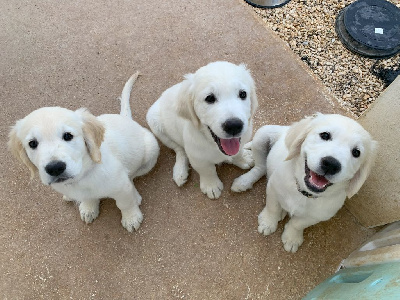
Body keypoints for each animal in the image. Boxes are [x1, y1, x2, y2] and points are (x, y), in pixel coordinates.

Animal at [8, 72, 159, 232]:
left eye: (68, 136)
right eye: (32, 143)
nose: (55, 168)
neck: (82, 176)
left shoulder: (121, 187)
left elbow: (124, 203)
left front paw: (131, 217)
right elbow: (88, 197)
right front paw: (89, 207)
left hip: (150, 151)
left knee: (133, 175)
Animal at [145, 61, 258, 199]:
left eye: (243, 94)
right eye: (209, 98)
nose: (234, 126)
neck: (212, 143)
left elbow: (238, 152)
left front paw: (243, 159)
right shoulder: (197, 156)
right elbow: (206, 169)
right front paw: (211, 185)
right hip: (155, 124)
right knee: (179, 149)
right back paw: (180, 171)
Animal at [231, 113, 378, 252]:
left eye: (356, 152)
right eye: (325, 135)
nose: (331, 164)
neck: (303, 193)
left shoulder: (318, 216)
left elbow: (297, 224)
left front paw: (292, 238)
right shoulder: (273, 189)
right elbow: (272, 207)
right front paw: (268, 222)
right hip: (263, 134)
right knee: (260, 167)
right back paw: (244, 181)